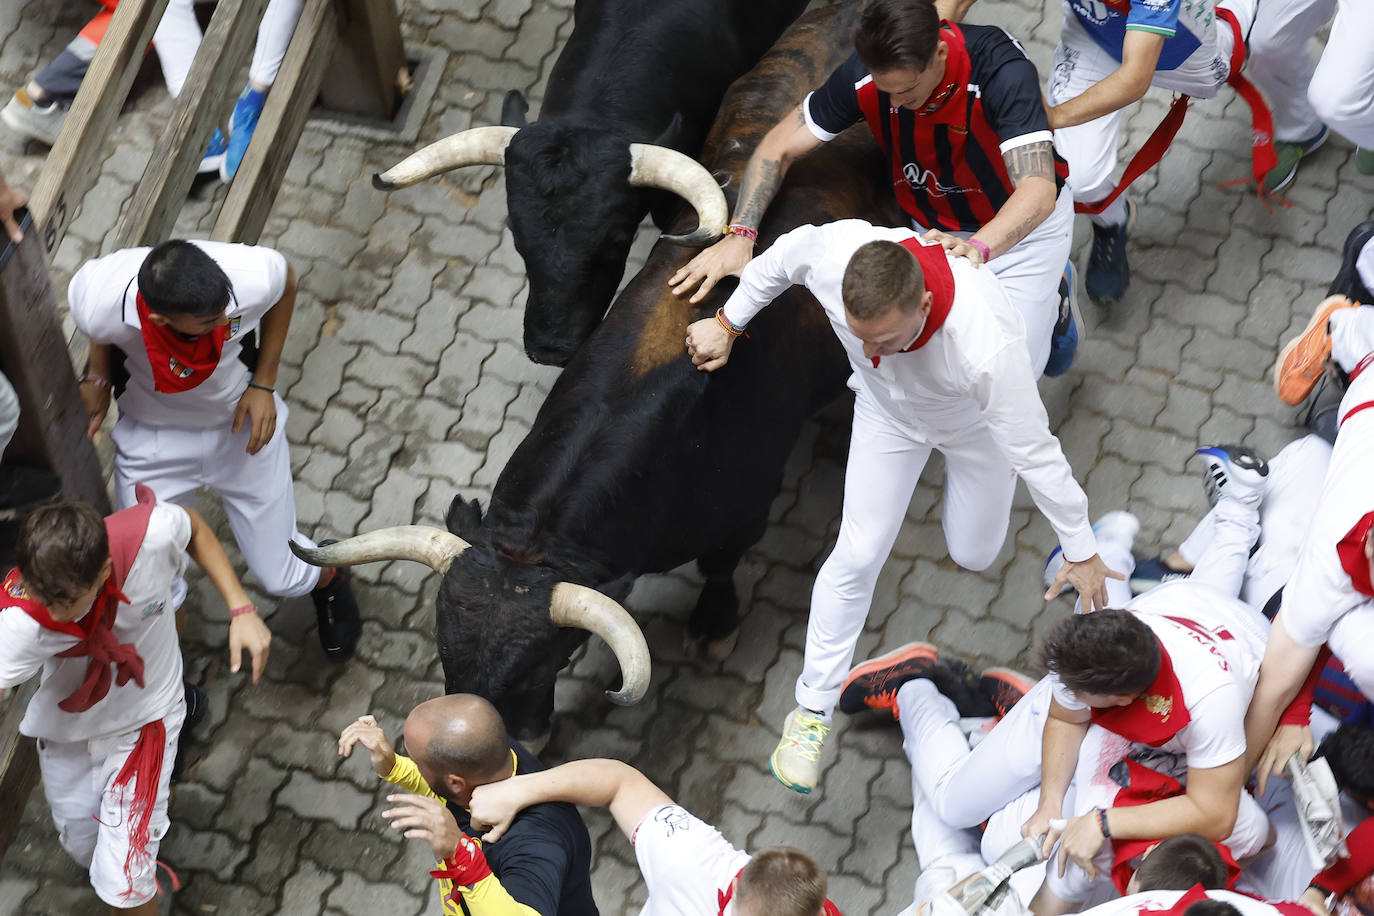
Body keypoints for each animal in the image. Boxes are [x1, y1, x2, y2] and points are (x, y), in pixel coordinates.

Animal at [311, 3, 912, 741]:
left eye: (543, 661)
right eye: (446, 654)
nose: (510, 740)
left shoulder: (745, 508)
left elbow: (721, 566)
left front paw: (713, 626)